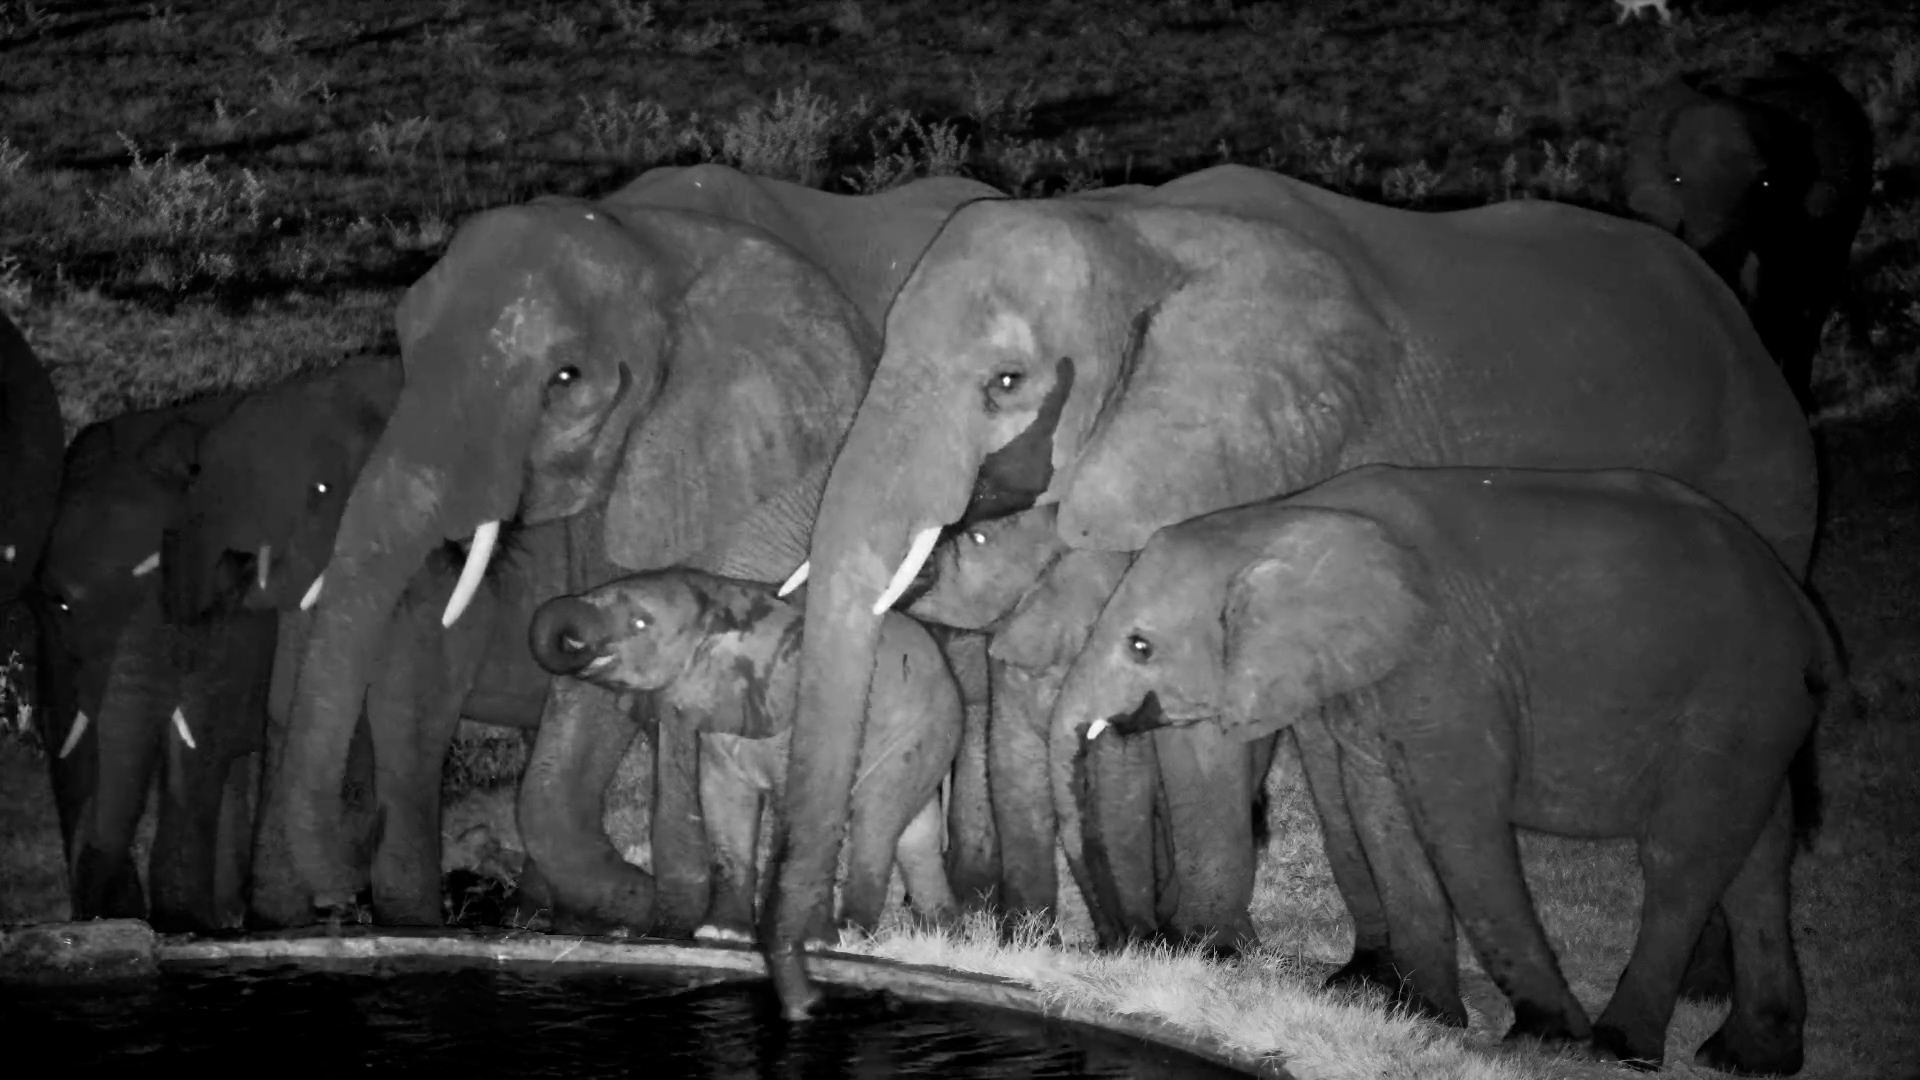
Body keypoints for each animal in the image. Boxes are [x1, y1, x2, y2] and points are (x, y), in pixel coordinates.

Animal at [529, 569, 961, 940]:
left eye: (639, 624)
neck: (723, 602)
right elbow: (722, 799)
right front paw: (723, 934)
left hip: (918, 730)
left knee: (877, 822)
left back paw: (853, 934)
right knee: (915, 834)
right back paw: (941, 934)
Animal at [764, 161, 1816, 1017]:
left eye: (1008, 382)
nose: (816, 981)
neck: (1139, 231)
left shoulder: (1277, 459)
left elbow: (1208, 721)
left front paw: (1201, 952)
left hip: (1767, 488)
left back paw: (1707, 999)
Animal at [1048, 463, 1836, 1076]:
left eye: (1141, 646)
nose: (1124, 944)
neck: (1283, 517)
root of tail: (1803, 608)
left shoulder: (1450, 667)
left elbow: (1461, 826)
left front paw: (1544, 1036)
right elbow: (1383, 817)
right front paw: (1422, 1017)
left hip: (1732, 698)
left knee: (1681, 857)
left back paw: (1618, 1047)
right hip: (1759, 713)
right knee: (1756, 859)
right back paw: (1748, 1058)